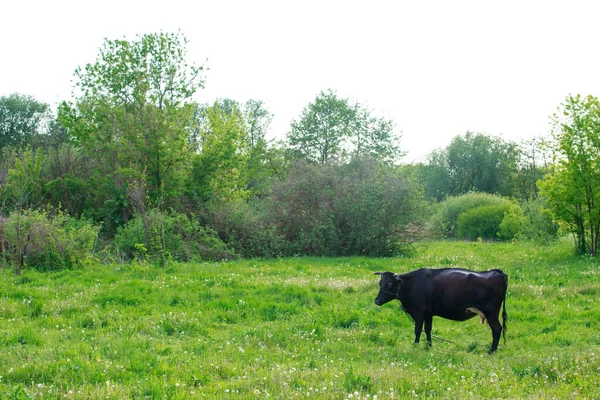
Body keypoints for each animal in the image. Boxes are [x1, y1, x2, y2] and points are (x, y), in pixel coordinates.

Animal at [376, 268, 506, 354]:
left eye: (389, 284)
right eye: (380, 283)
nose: (376, 300)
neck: (412, 284)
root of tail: (496, 272)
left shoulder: (419, 313)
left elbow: (418, 330)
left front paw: (415, 345)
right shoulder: (428, 314)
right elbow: (428, 329)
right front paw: (429, 346)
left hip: (491, 313)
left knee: (497, 329)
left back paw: (491, 351)